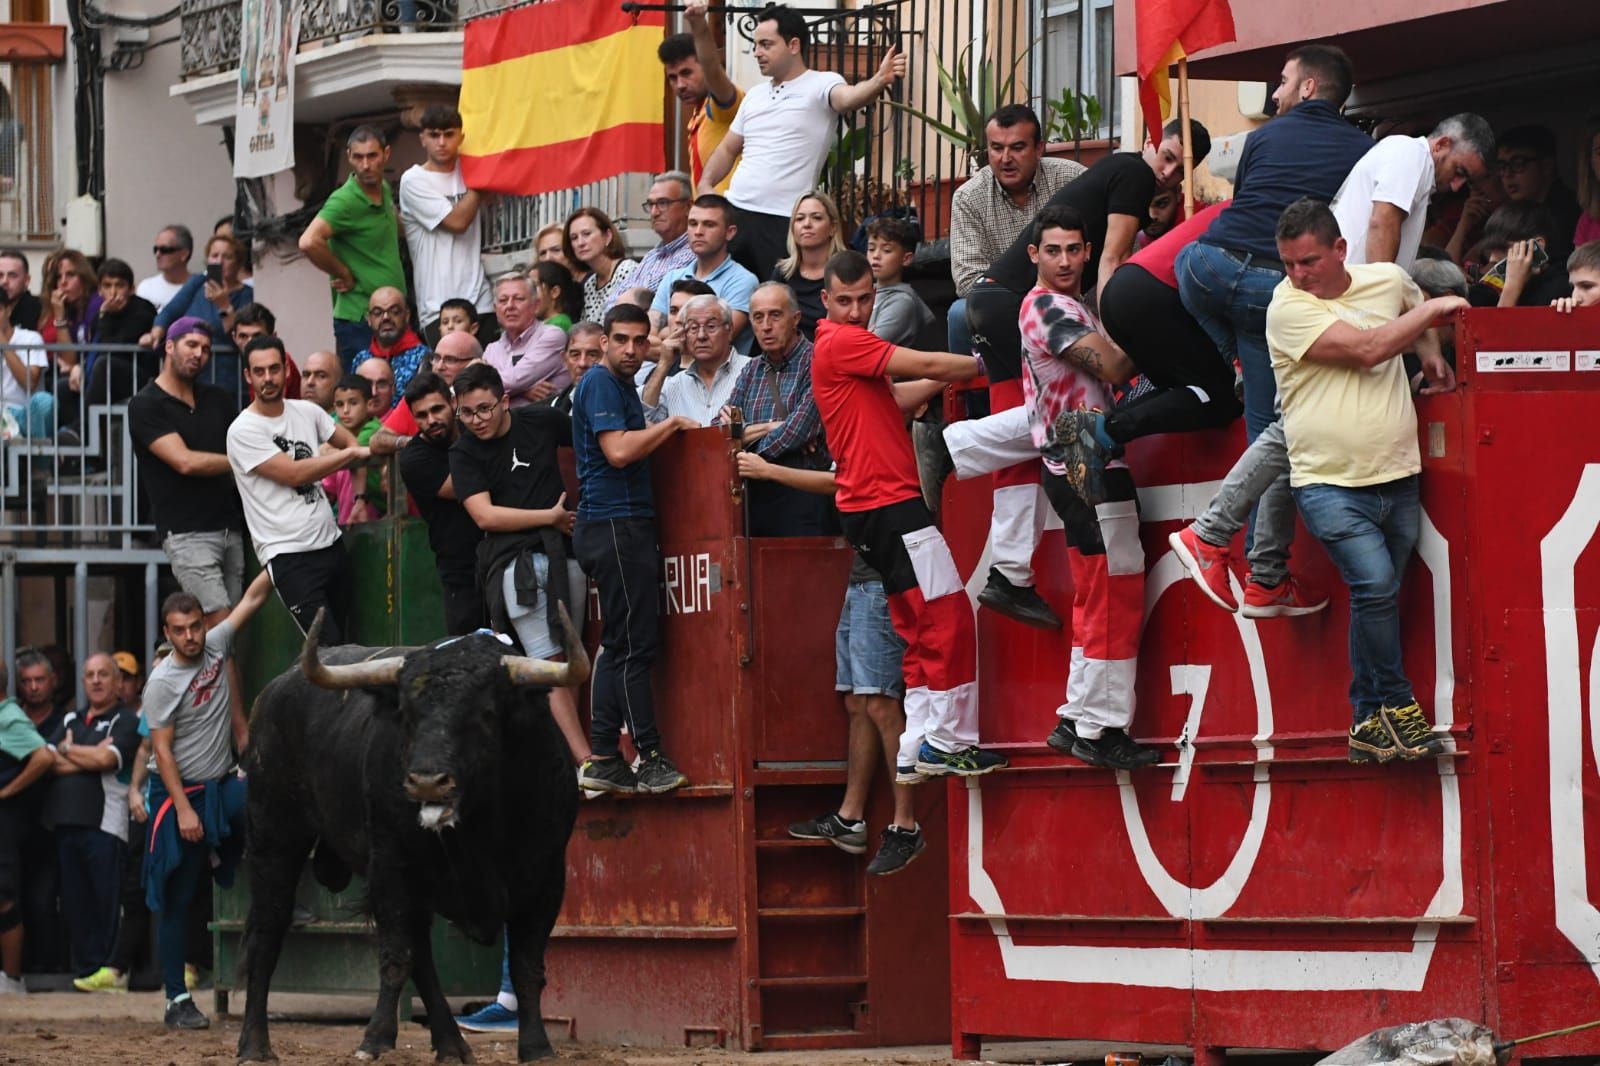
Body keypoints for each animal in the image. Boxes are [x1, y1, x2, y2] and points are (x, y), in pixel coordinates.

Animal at [232, 601, 588, 1056]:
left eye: (486, 714)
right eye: (405, 714)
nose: (426, 781)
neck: (478, 827)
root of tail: (277, 688)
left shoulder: (545, 879)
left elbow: (528, 966)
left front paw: (537, 1047)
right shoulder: (391, 868)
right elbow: (396, 956)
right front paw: (374, 1038)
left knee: (423, 957)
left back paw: (452, 1044)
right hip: (275, 840)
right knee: (267, 935)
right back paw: (254, 1045)